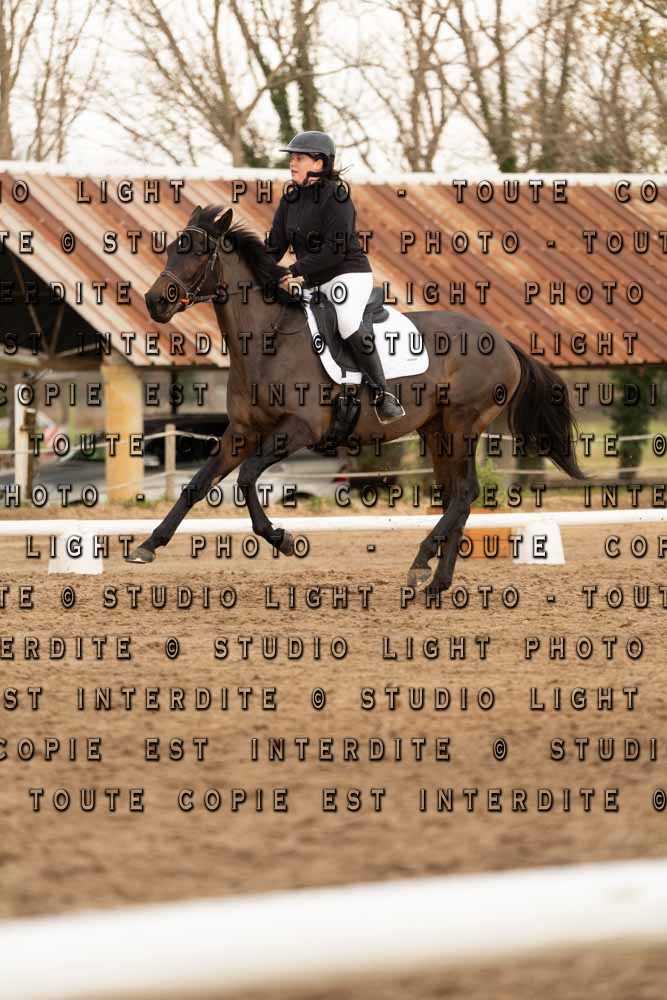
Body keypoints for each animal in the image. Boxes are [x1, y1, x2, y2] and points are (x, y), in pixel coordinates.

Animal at [129, 203, 583, 593]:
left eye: (197, 251)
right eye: (171, 248)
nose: (154, 301)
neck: (266, 341)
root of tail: (503, 342)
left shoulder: (300, 429)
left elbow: (245, 478)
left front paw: (282, 538)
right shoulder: (242, 432)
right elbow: (196, 486)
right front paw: (147, 546)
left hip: (461, 424)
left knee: (465, 492)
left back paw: (421, 563)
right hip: (436, 430)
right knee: (458, 495)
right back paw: (436, 582)